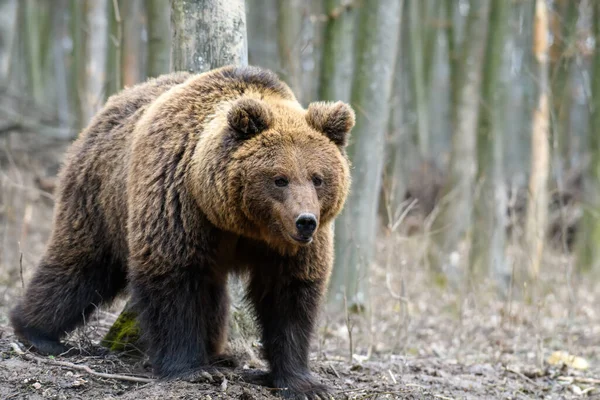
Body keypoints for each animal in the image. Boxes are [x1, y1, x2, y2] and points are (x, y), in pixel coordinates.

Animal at [11, 65, 354, 396]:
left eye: (318, 178)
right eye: (279, 178)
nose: (305, 220)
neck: (240, 222)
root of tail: (108, 107)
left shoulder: (287, 247)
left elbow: (289, 296)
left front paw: (303, 384)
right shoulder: (177, 204)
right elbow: (174, 283)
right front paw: (189, 368)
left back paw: (219, 353)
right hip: (99, 198)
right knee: (81, 266)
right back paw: (36, 331)